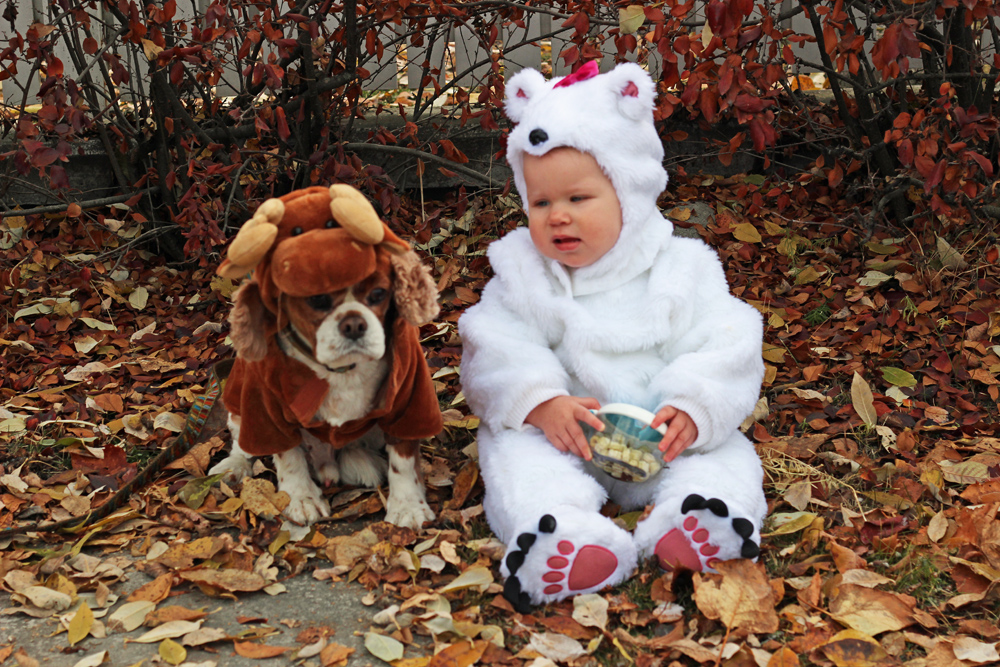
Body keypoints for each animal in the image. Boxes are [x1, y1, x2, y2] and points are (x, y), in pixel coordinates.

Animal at [209, 185, 444, 528]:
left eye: (378, 294)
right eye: (317, 300)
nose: (354, 324)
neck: (339, 370)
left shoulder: (408, 401)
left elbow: (402, 459)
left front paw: (407, 506)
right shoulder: (267, 412)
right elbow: (289, 457)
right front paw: (301, 499)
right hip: (238, 410)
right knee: (243, 444)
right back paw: (233, 466)